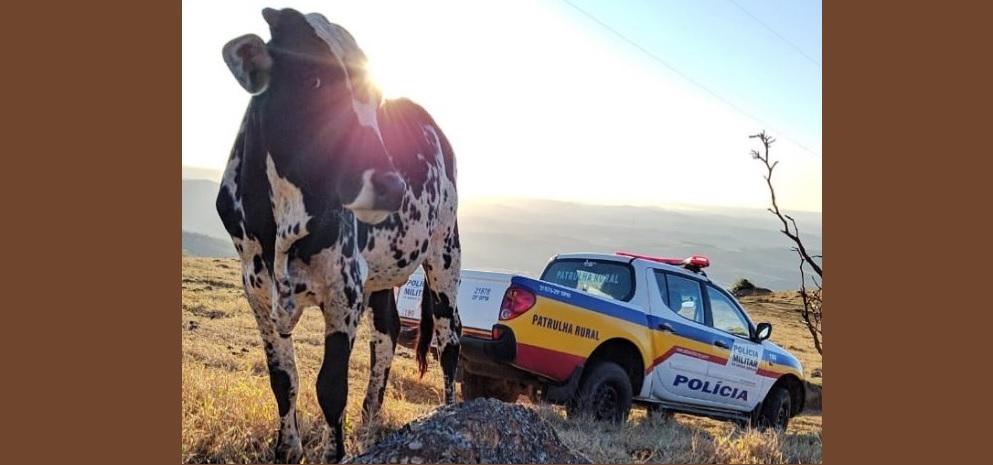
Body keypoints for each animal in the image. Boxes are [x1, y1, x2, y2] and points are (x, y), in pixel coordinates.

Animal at [216, 7, 462, 463]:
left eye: (374, 99)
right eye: (313, 80)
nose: (392, 185)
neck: (282, 228)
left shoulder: (343, 289)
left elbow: (331, 387)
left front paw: (335, 452)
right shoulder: (256, 291)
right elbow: (284, 380)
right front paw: (287, 449)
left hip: (445, 249)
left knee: (449, 335)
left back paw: (450, 412)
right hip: (382, 273)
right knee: (387, 331)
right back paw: (369, 423)